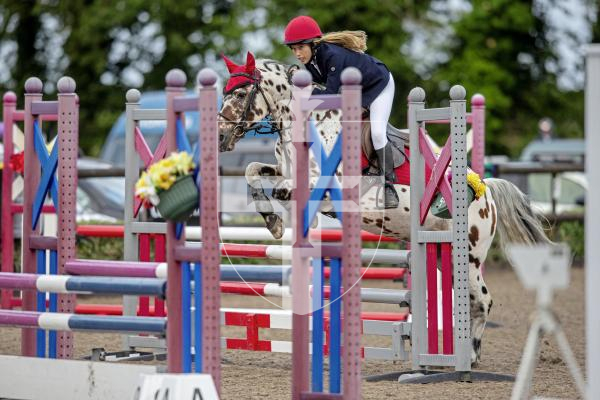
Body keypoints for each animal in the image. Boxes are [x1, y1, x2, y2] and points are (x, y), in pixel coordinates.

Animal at [217, 51, 552, 364]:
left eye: (240, 94)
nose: (220, 136)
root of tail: (486, 191)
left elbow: (284, 190)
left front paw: (282, 222)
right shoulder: (283, 171)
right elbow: (252, 171)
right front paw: (273, 222)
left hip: (468, 255)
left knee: (483, 301)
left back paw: (467, 358)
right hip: (443, 254)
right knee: (467, 300)